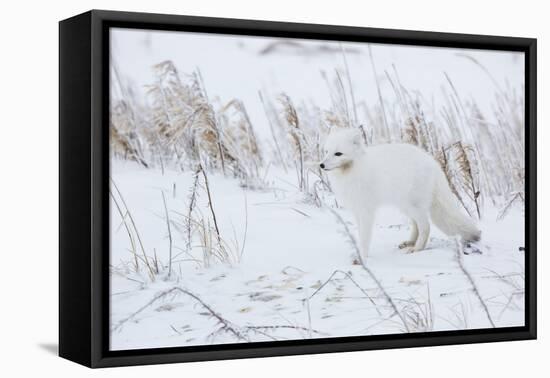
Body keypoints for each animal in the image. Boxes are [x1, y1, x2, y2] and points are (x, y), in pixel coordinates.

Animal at [322, 128, 480, 258]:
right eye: (326, 151)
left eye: (338, 154)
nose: (321, 165)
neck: (352, 170)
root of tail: (432, 163)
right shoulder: (357, 210)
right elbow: (360, 233)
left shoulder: (367, 210)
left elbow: (365, 236)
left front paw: (363, 257)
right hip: (404, 206)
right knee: (416, 224)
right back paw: (410, 242)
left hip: (412, 205)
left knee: (425, 226)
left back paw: (417, 248)